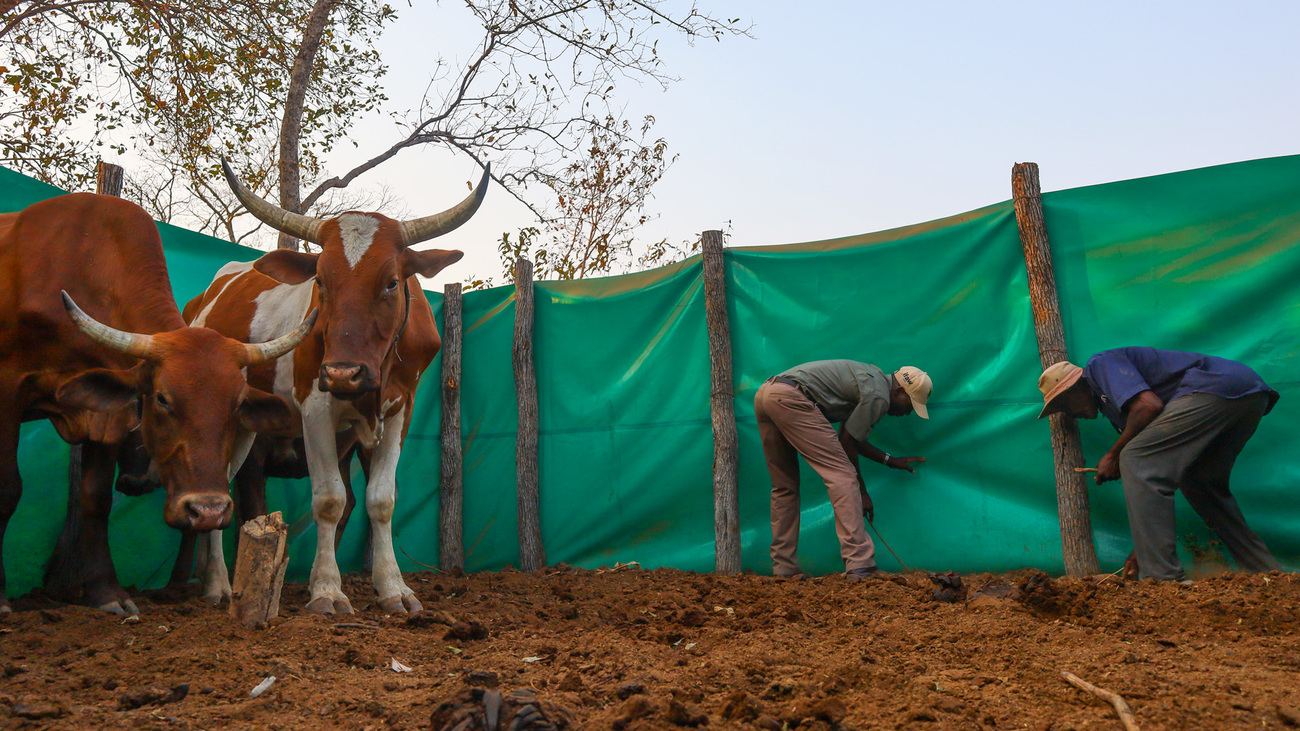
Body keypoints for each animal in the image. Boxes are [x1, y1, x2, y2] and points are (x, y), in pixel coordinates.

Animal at [0, 191, 314, 611]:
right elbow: (8, 489)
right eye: (162, 399)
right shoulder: (7, 393)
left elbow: (95, 499)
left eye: (237, 404)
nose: (208, 510)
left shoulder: (106, 417)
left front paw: (108, 594)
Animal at [179, 160, 488, 613]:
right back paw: (217, 583)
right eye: (321, 281)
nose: (344, 373)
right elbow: (329, 500)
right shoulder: (315, 406)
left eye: (391, 282)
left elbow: (381, 500)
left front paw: (394, 588)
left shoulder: (401, 409)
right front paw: (326, 588)